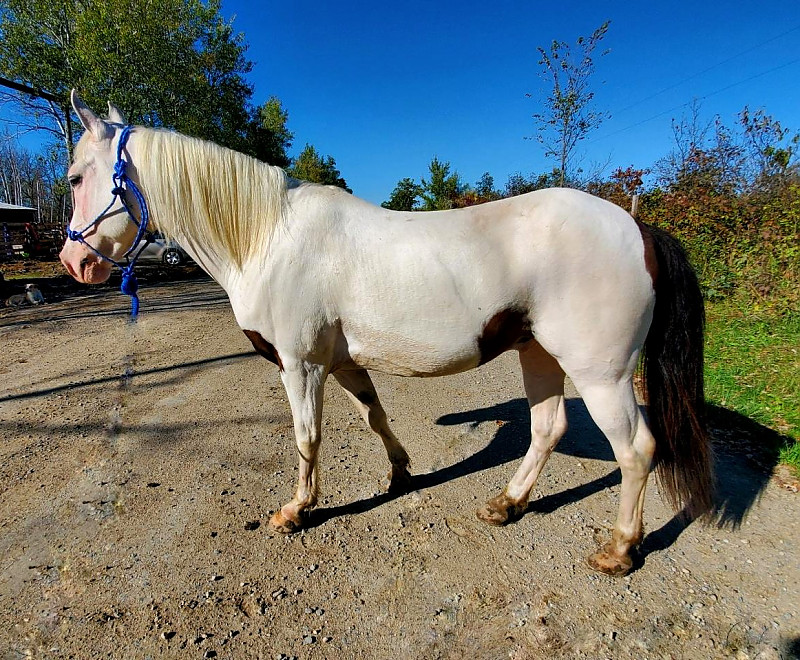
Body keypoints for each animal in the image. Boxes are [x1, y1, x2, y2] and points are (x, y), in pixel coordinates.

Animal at [59, 92, 713, 576]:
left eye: (72, 177)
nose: (74, 263)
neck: (268, 237)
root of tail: (637, 227)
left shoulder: (301, 364)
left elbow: (307, 436)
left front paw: (296, 510)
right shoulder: (343, 362)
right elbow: (374, 415)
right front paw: (401, 473)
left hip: (600, 373)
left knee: (636, 451)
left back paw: (620, 550)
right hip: (540, 354)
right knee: (547, 429)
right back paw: (506, 505)